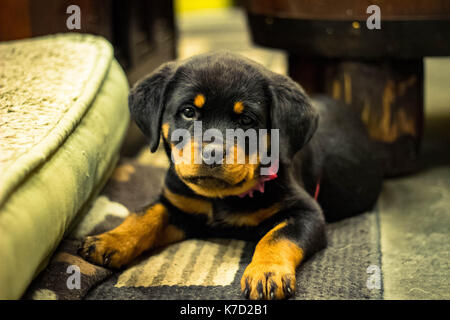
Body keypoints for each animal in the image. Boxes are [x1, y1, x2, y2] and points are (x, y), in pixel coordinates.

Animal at [78, 50, 384, 300]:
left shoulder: (306, 212)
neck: (220, 197)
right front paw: (110, 239)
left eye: (246, 120)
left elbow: (277, 236)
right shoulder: (179, 205)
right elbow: (144, 215)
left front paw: (266, 273)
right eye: (188, 112)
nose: (212, 153)